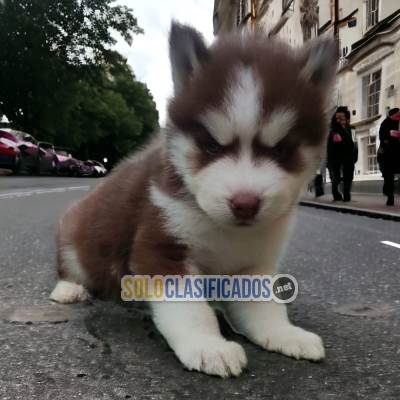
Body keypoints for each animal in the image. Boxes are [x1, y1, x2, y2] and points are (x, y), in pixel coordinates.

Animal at [49, 21, 338, 378]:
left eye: (282, 150)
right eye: (212, 147)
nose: (245, 204)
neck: (222, 229)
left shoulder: (253, 264)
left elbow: (265, 306)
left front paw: (283, 333)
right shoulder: (161, 247)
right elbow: (189, 308)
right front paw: (207, 345)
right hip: (74, 229)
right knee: (70, 264)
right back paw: (69, 289)